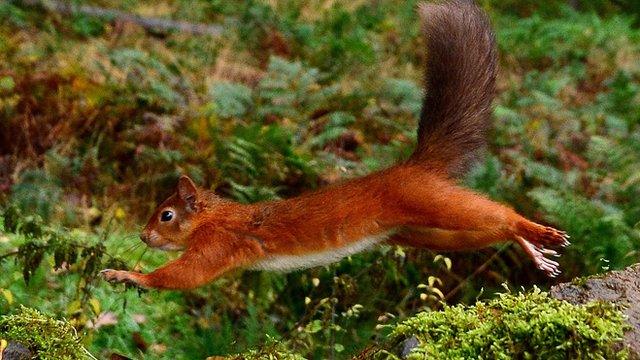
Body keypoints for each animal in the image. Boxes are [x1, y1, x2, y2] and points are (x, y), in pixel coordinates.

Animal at [101, 0, 568, 290]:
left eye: (166, 215)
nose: (142, 236)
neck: (216, 217)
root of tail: (413, 167)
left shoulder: (219, 245)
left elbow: (185, 276)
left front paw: (129, 277)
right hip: (425, 233)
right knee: (489, 231)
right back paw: (532, 250)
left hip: (431, 202)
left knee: (498, 214)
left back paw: (536, 230)